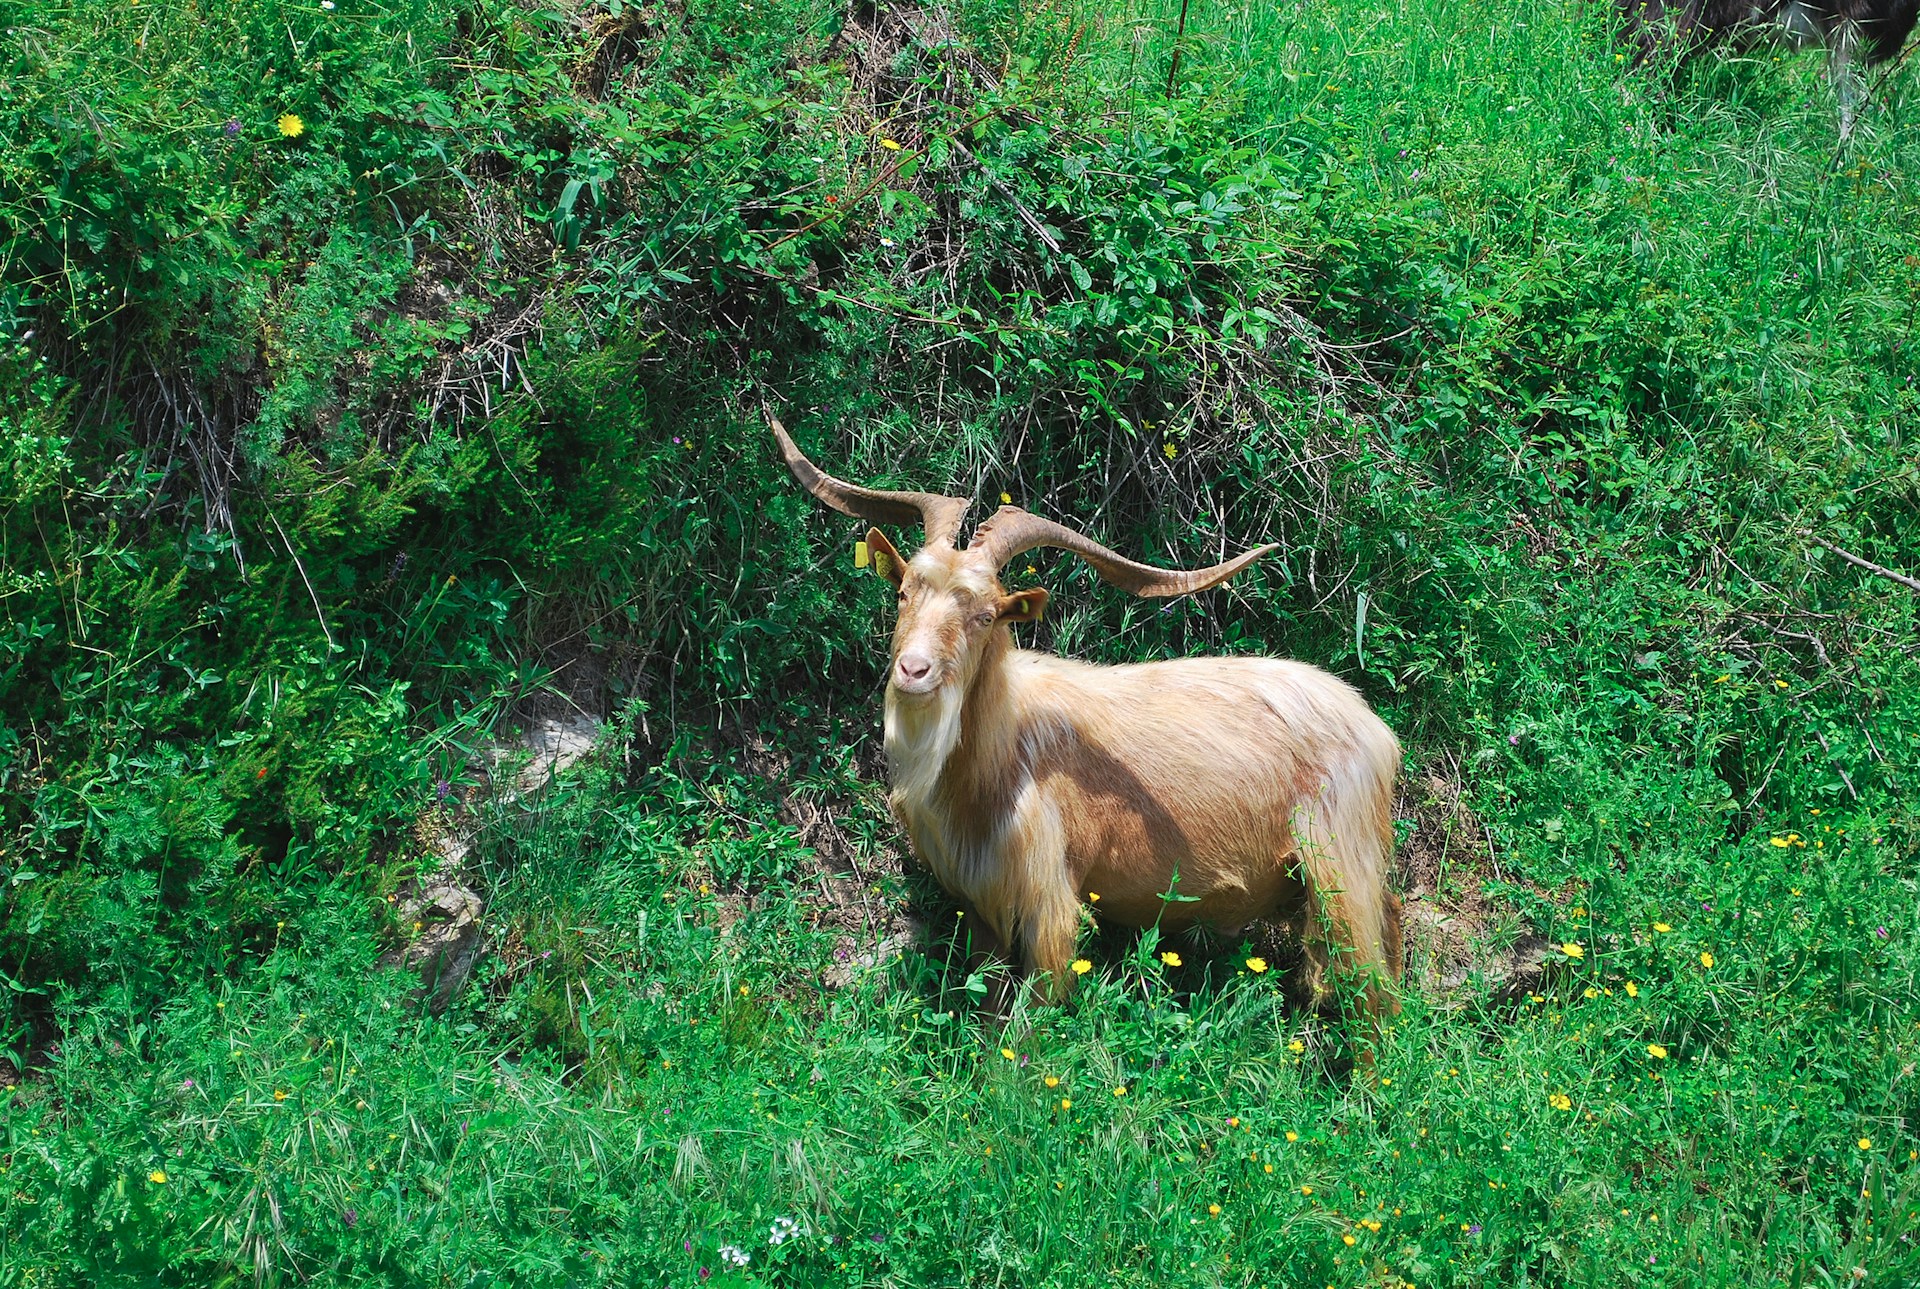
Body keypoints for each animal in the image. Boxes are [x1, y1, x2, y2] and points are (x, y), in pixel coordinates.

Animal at [772, 415, 1404, 1020]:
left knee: (1372, 986)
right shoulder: (979, 903)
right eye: (904, 591)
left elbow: (1026, 1030)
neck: (1001, 754)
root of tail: (1373, 725)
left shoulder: (1050, 902)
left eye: (985, 616)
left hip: (1341, 865)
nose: (914, 670)